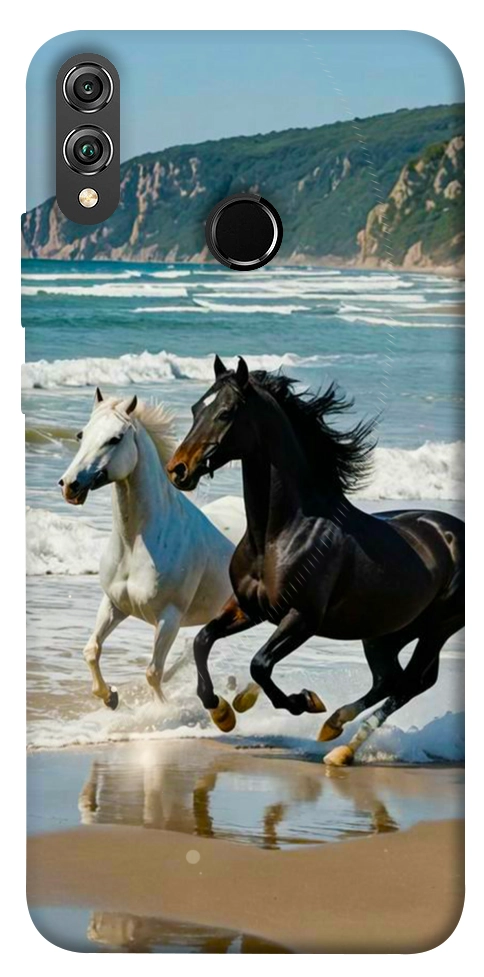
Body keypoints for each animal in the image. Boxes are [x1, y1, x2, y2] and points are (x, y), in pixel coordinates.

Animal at [59, 388, 234, 709]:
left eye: (115, 438)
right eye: (81, 434)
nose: (69, 485)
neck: (135, 544)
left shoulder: (169, 618)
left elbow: (153, 672)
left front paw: (161, 711)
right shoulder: (114, 604)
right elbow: (92, 650)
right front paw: (110, 697)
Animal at [166, 356, 464, 765]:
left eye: (226, 412)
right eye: (197, 408)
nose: (177, 469)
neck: (280, 534)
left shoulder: (302, 618)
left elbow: (260, 664)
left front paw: (303, 701)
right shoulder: (248, 608)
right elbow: (202, 640)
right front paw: (223, 711)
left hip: (437, 628)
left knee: (410, 683)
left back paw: (340, 746)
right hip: (386, 632)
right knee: (390, 679)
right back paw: (334, 729)